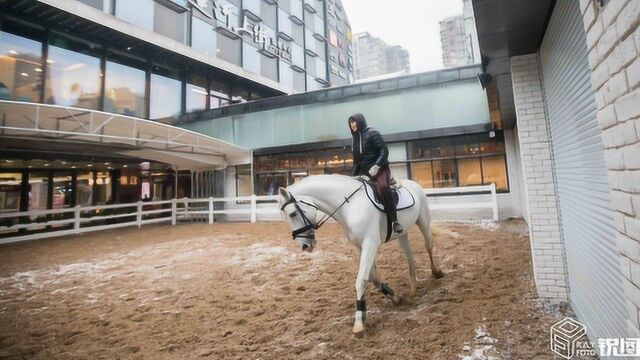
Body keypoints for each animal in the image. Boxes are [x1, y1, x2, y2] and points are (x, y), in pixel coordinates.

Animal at [278, 174, 442, 338]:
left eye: (292, 214)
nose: (305, 246)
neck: (349, 206)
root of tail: (413, 183)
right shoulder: (360, 246)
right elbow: (373, 278)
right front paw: (393, 297)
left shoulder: (370, 243)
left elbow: (361, 280)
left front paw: (358, 323)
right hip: (403, 234)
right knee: (410, 255)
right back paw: (413, 289)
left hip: (423, 221)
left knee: (429, 245)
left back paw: (437, 272)